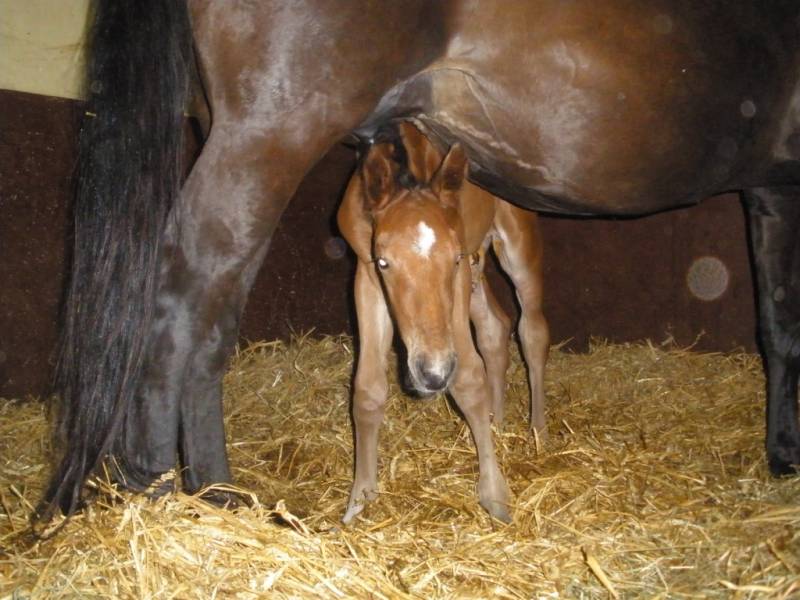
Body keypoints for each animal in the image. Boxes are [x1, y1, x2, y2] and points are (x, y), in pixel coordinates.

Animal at [337, 122, 548, 522]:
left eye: (452, 259)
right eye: (385, 262)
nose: (432, 376)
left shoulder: (463, 267)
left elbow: (468, 378)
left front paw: (495, 494)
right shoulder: (366, 275)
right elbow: (368, 388)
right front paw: (359, 502)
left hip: (513, 244)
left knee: (533, 332)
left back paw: (537, 430)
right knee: (495, 329)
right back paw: (497, 422)